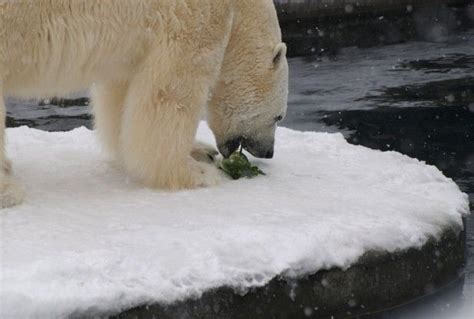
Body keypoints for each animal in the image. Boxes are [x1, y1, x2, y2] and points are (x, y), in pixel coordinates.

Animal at [0, 0, 288, 209]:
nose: (269, 152)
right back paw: (8, 192)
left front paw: (200, 150)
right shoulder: (195, 19)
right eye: (279, 117)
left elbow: (121, 98)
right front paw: (195, 173)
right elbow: (170, 93)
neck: (240, 8)